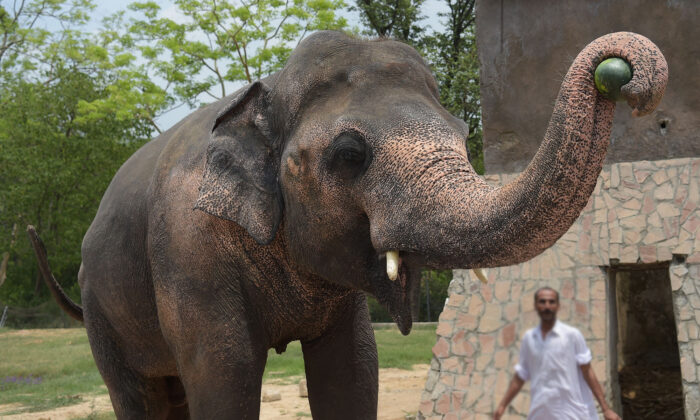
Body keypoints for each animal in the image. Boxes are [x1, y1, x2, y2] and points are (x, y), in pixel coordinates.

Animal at [28, 31, 668, 418]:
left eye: (464, 134)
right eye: (350, 154)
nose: (621, 75)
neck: (266, 90)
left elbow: (354, 371)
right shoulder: (188, 253)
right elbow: (226, 376)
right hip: (102, 305)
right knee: (141, 396)